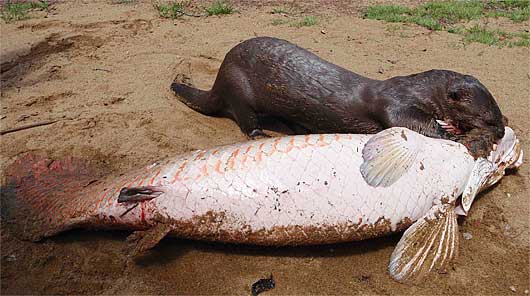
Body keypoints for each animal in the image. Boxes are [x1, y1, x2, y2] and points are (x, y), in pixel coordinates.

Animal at [171, 36, 506, 157]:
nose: (502, 131)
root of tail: (218, 77)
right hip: (238, 87)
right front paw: (452, 133)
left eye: (499, 113)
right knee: (244, 118)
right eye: (487, 117)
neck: (416, 89)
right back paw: (260, 133)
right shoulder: (396, 104)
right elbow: (410, 121)